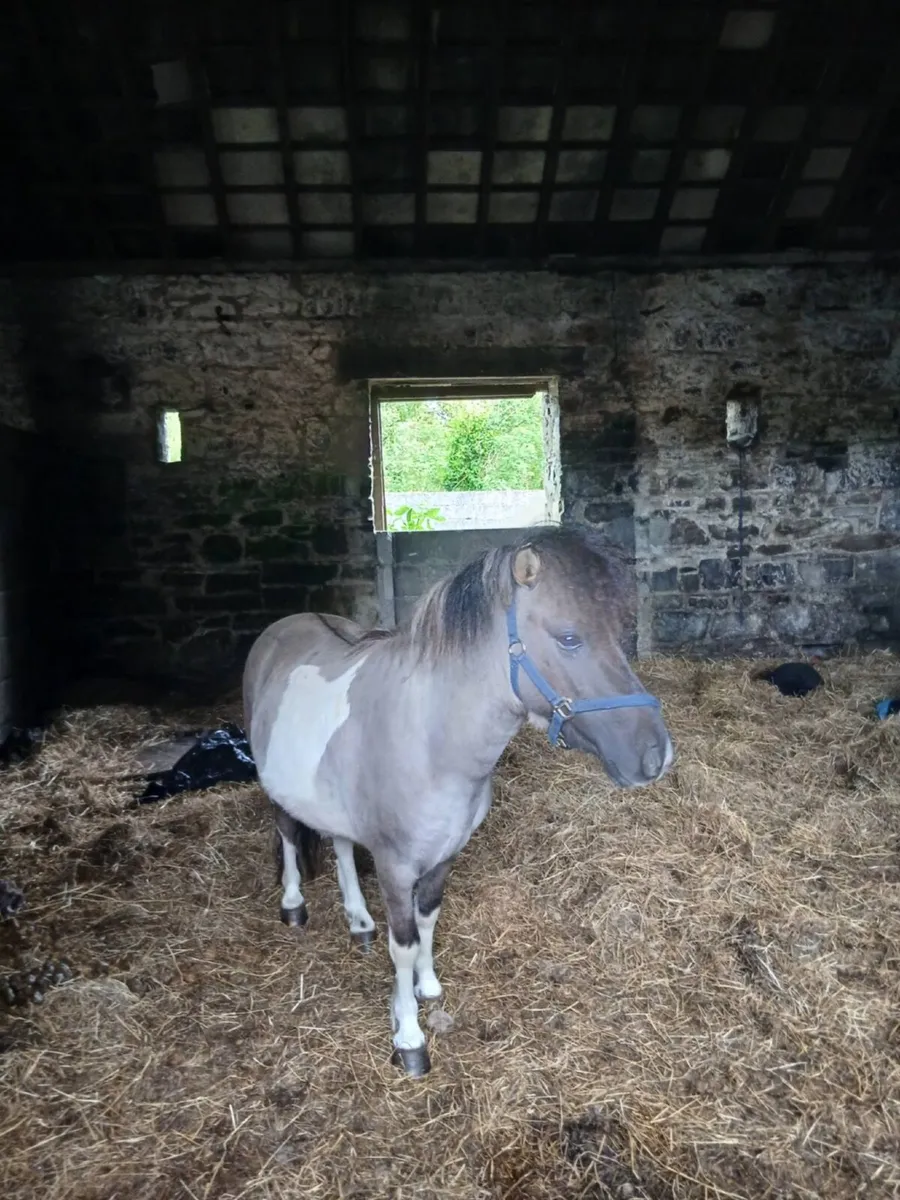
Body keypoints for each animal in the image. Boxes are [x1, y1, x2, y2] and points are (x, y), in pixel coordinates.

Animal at [243, 524, 674, 1077]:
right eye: (569, 638)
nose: (655, 755)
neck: (431, 739)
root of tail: (285, 626)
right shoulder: (394, 865)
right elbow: (403, 943)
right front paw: (408, 1035)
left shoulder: (445, 855)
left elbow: (428, 919)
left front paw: (427, 987)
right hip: (272, 785)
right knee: (287, 833)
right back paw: (294, 905)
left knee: (339, 845)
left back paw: (358, 921)